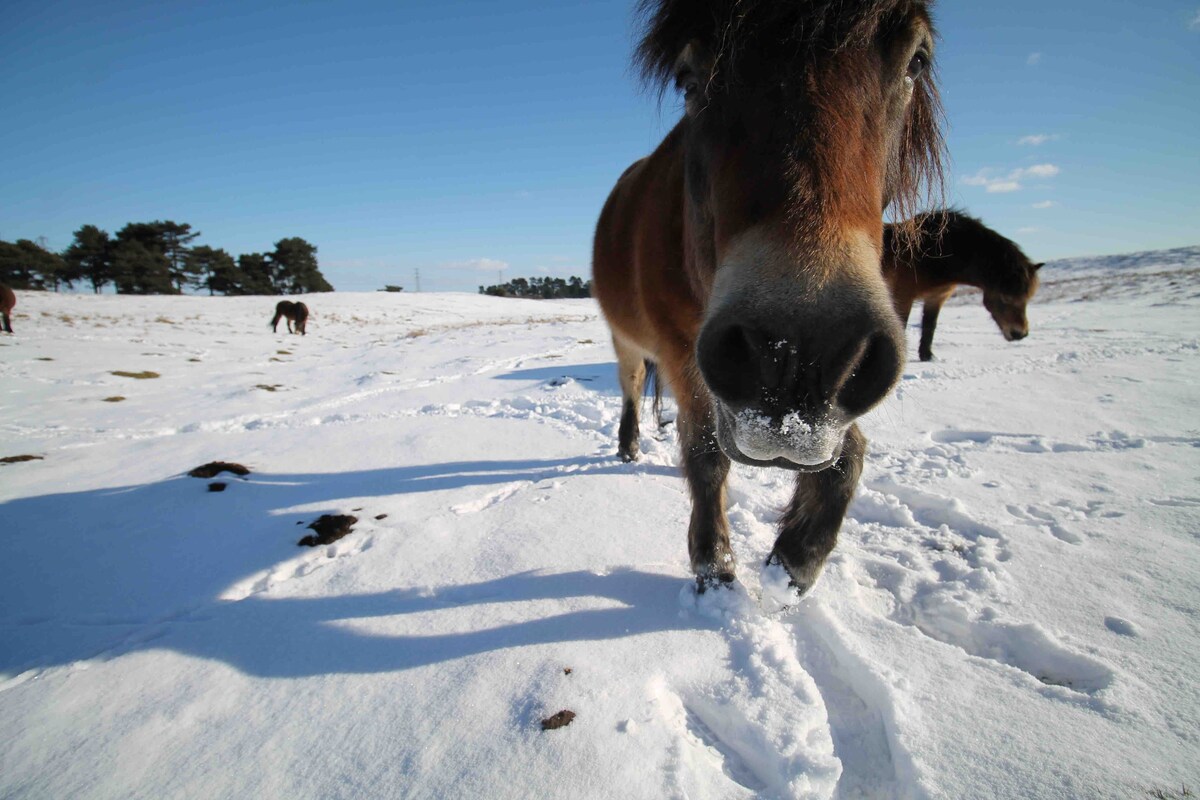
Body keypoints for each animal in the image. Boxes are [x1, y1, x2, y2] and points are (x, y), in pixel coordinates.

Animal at [590, 0, 945, 597]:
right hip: (629, 340)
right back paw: (628, 446)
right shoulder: (682, 351)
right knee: (634, 388)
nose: (799, 356)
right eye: (688, 78)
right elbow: (705, 454)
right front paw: (714, 570)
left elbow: (847, 452)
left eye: (915, 61)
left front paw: (793, 562)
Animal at [883, 208, 1041, 362]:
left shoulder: (936, 298)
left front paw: (927, 357)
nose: (1020, 334)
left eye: (1027, 298)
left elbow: (929, 326)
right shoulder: (904, 298)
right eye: (1005, 297)